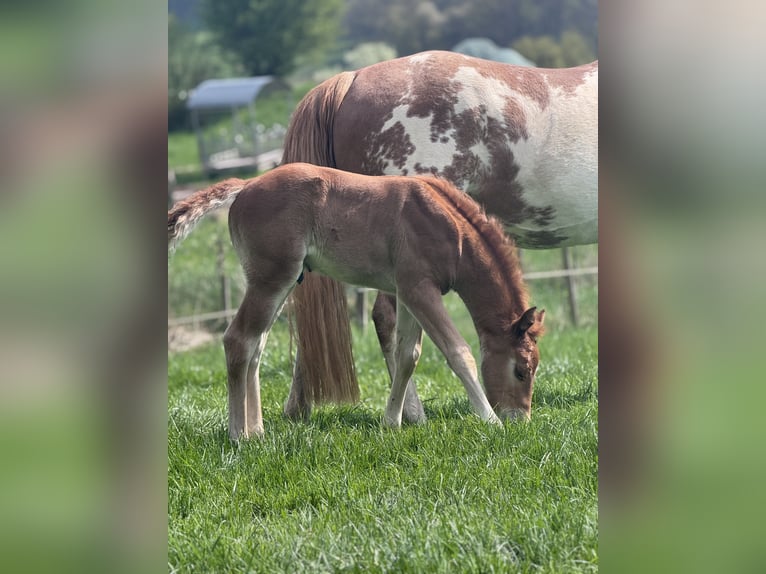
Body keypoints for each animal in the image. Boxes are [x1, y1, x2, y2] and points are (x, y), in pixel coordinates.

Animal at [168, 163, 545, 440]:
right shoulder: (421, 289)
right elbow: (458, 352)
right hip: (271, 280)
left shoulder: (407, 292)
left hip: (278, 283)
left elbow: (407, 356)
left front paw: (391, 422)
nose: (521, 421)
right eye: (521, 370)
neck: (451, 228)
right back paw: (238, 435)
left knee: (256, 346)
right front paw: (490, 420)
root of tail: (247, 185)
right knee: (238, 339)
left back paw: (257, 431)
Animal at [281, 50, 597, 422]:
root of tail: (350, 78)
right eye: (520, 371)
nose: (518, 421)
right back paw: (411, 413)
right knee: (387, 319)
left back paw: (298, 408)